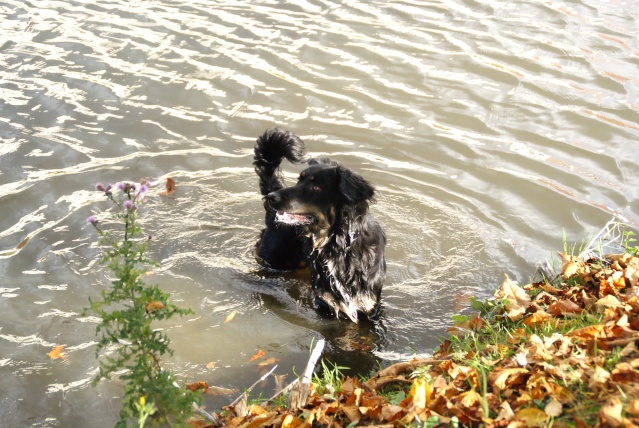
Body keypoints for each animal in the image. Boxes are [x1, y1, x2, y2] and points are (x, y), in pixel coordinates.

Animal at [254, 128, 384, 320]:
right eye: (299, 180)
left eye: (315, 187)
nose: (272, 198)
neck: (340, 246)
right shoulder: (326, 302)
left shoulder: (369, 305)